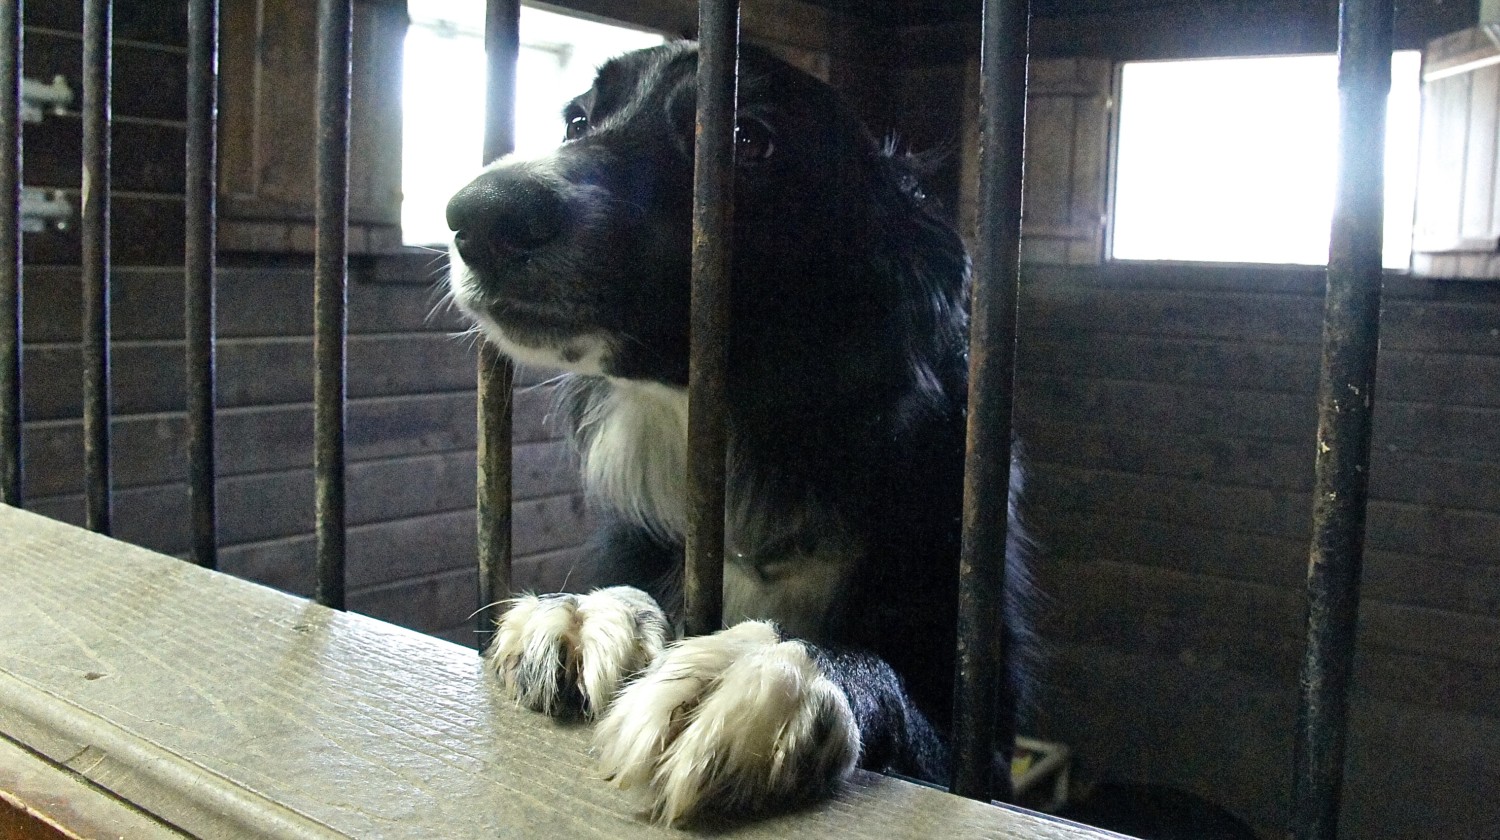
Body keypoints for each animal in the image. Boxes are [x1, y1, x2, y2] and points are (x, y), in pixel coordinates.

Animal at [444, 42, 1032, 822]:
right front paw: (587, 614)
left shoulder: (982, 759)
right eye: (576, 120)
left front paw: (770, 666)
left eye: (745, 139)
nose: (479, 214)